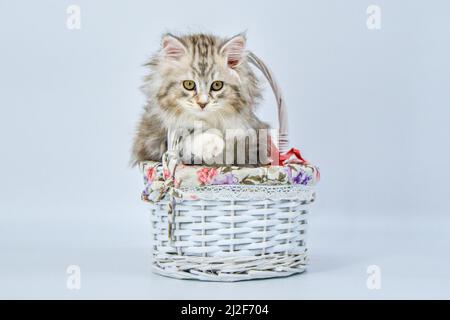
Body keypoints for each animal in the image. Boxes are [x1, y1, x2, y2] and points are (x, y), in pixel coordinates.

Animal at [132, 32, 268, 166]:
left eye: (217, 85)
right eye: (189, 84)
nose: (202, 103)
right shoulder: (153, 137)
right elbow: (188, 135)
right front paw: (211, 143)